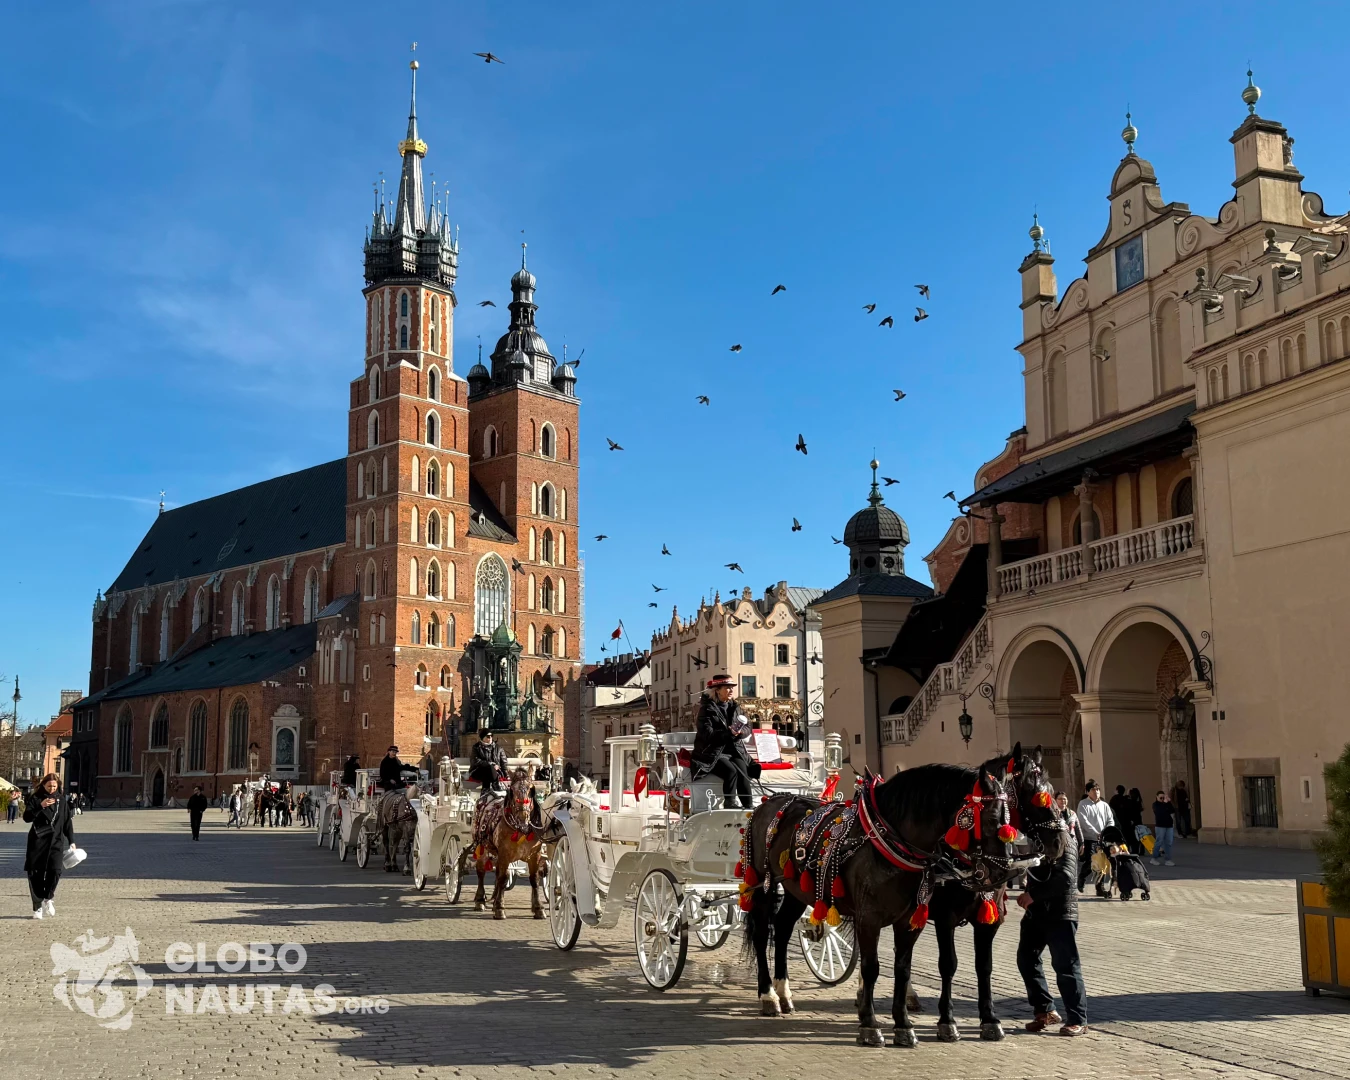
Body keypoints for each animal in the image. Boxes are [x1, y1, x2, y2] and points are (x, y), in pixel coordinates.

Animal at [739, 756, 1031, 1042]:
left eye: (1009, 814)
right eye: (990, 818)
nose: (1003, 872)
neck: (889, 840)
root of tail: (771, 801)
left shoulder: (915, 920)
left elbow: (906, 968)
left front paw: (904, 1025)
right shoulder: (876, 918)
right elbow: (875, 967)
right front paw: (871, 1025)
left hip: (795, 890)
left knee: (783, 928)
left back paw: (784, 992)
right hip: (761, 884)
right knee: (763, 933)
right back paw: (768, 995)